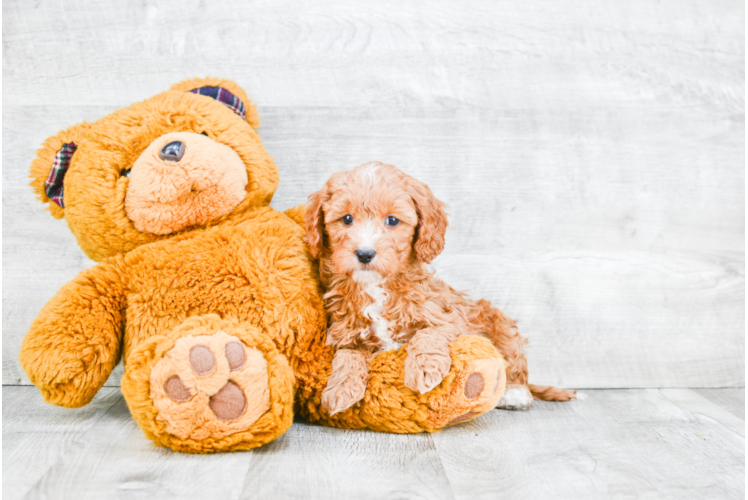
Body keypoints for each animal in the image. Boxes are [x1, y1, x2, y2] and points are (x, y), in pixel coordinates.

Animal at [306, 162, 576, 416]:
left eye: (392, 220)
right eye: (346, 219)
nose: (364, 254)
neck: (376, 286)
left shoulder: (448, 319)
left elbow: (428, 334)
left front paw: (424, 370)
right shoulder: (344, 333)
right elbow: (348, 354)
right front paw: (340, 389)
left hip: (501, 325)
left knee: (516, 365)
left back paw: (514, 393)